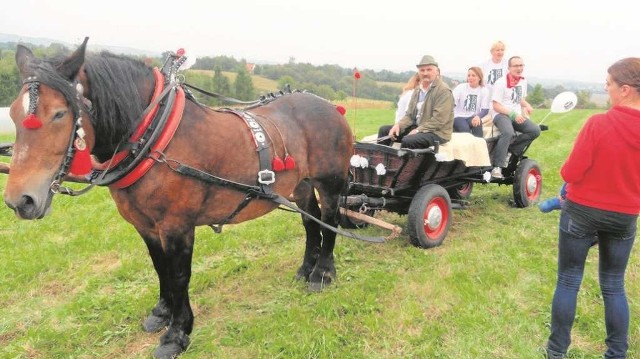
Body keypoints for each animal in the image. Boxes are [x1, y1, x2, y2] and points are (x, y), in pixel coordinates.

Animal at [3, 38, 356, 358]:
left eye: (60, 114)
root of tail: (331, 106)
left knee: (329, 221)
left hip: (331, 183)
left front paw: (177, 333)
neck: (154, 137)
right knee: (310, 222)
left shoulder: (177, 226)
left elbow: (178, 275)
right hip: (299, 184)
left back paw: (323, 273)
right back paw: (306, 268)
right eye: (14, 114)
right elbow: (159, 267)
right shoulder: (145, 225)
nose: (20, 200)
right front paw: (162, 313)